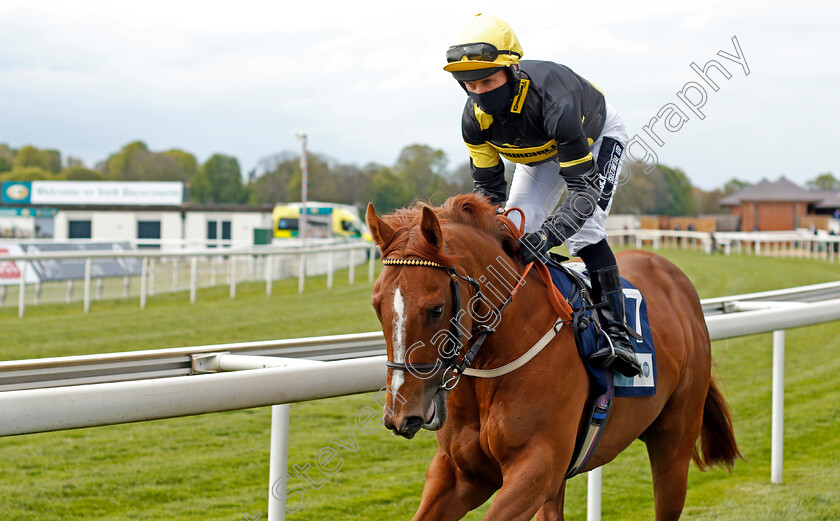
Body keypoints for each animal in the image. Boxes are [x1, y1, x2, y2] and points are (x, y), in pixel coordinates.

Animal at [364, 194, 740, 520]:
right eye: (376, 305)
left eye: (436, 309)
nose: (401, 416)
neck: (494, 362)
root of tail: (672, 276)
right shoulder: (461, 474)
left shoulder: (536, 472)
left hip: (673, 444)